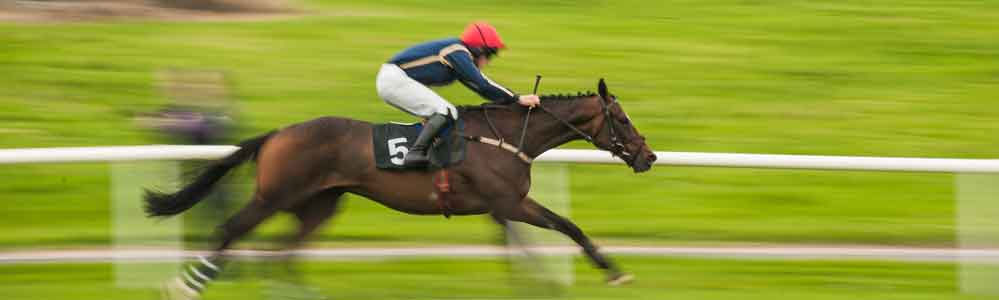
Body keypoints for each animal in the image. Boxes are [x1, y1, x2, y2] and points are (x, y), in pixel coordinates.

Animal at [143, 78, 656, 298]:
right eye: (622, 118)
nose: (648, 156)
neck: (511, 137)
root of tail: (275, 134)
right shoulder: (512, 201)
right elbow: (567, 226)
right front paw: (614, 272)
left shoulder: (500, 207)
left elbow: (520, 245)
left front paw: (538, 284)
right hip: (275, 195)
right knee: (231, 230)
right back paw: (185, 284)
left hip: (320, 204)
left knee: (284, 249)